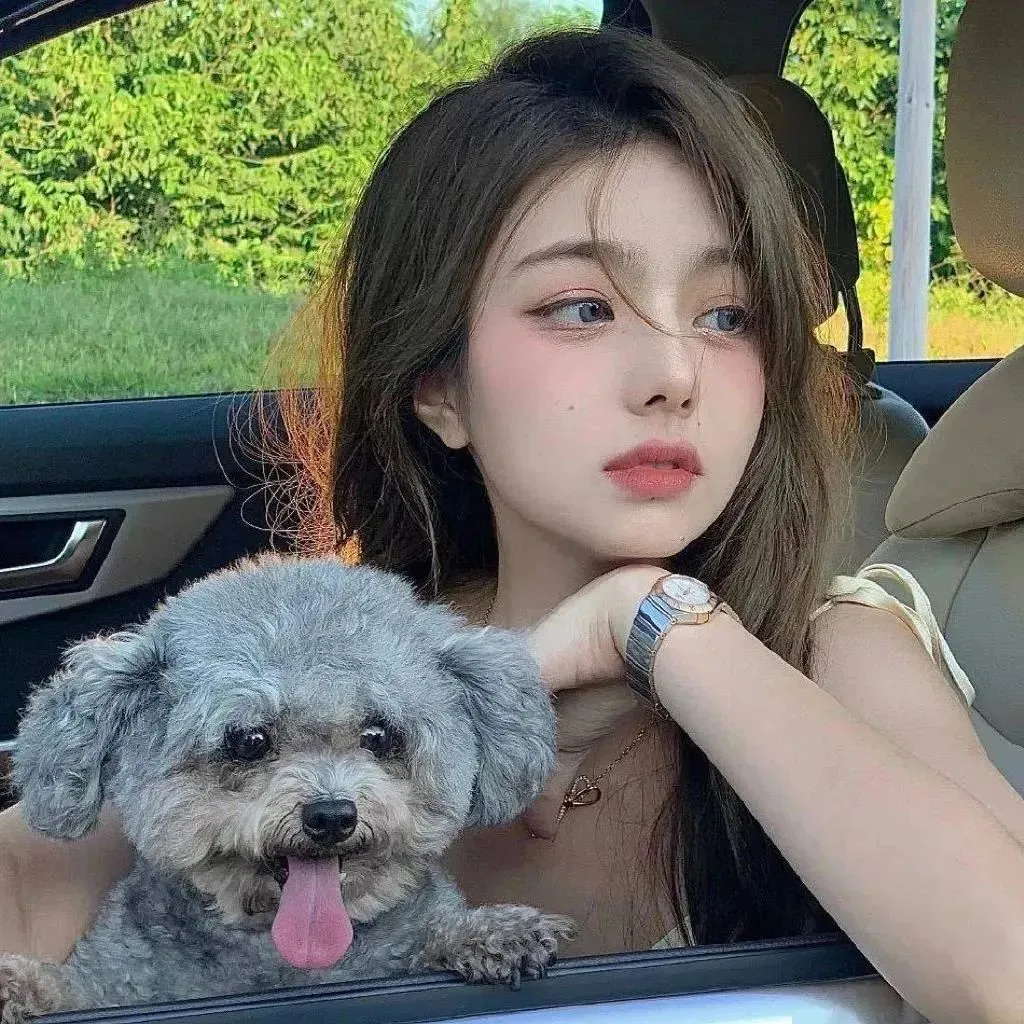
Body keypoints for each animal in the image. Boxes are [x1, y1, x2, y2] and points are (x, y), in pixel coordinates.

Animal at [0, 554, 574, 1022]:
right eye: (248, 739)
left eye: (380, 734)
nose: (332, 815)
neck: (290, 961)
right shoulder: (117, 979)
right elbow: (76, 988)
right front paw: (16, 985)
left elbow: (432, 935)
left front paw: (491, 932)